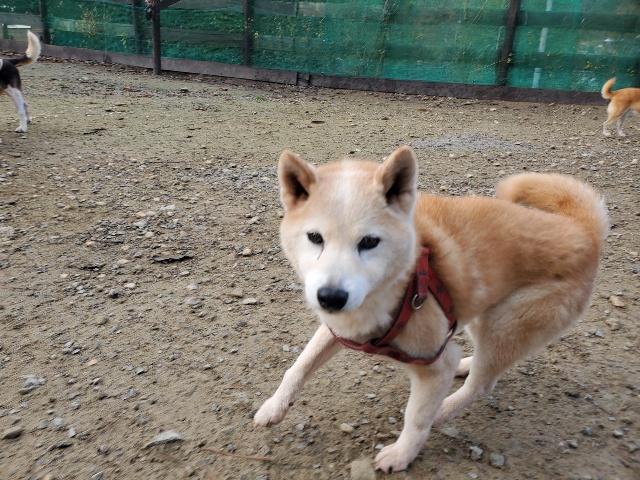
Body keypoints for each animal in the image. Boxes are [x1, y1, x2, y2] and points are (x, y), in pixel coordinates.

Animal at [254, 146, 609, 472]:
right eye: (315, 237)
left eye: (369, 242)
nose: (330, 297)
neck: (404, 279)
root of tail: (584, 231)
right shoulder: (339, 327)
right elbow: (299, 365)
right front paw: (275, 406)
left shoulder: (435, 364)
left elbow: (417, 419)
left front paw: (401, 455)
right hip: (480, 314)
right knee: (481, 362)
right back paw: (467, 364)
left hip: (506, 324)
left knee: (482, 384)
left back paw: (445, 409)